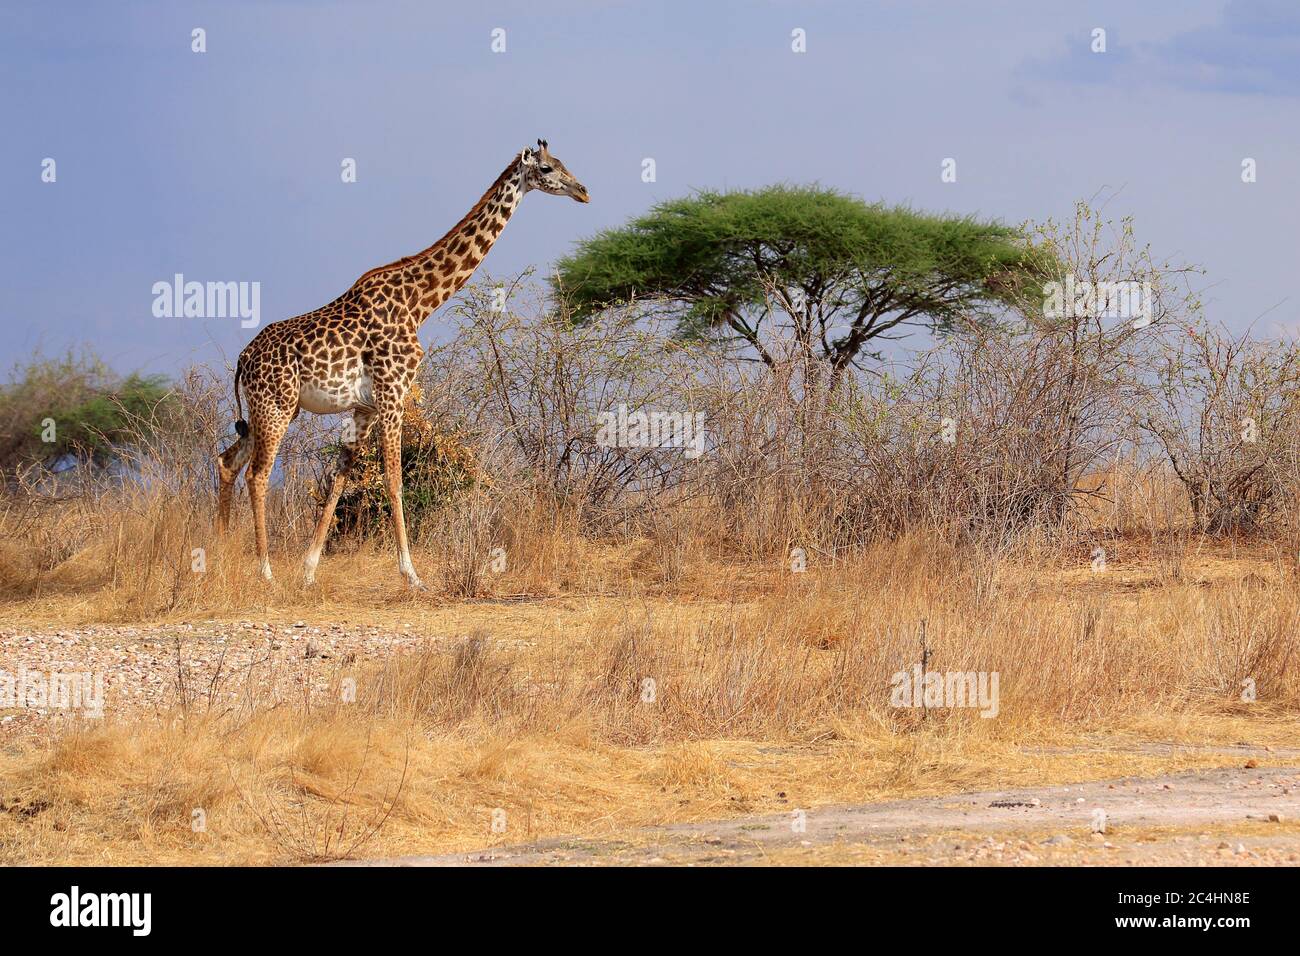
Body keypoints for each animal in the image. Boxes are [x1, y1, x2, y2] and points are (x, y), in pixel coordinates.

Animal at [217, 140, 590, 590]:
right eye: (549, 168)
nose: (584, 191)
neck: (420, 301)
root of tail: (243, 358)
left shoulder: (365, 407)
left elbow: (340, 480)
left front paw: (308, 570)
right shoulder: (392, 391)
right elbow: (394, 480)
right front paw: (411, 574)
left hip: (268, 409)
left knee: (227, 462)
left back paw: (215, 555)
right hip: (276, 406)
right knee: (256, 474)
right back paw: (265, 571)